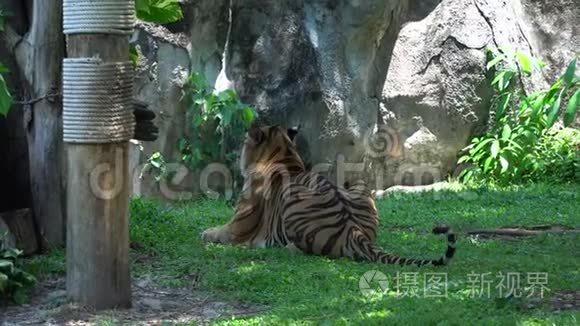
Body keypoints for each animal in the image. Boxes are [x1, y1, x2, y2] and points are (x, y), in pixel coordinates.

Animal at [202, 126, 456, 266]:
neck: (283, 154)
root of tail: (353, 231)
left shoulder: (237, 227)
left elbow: (216, 232)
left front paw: (205, 233)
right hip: (360, 186)